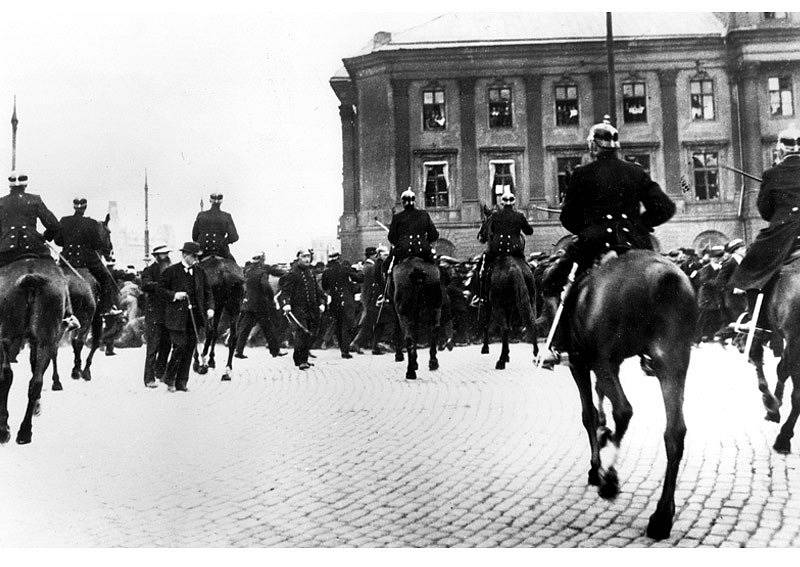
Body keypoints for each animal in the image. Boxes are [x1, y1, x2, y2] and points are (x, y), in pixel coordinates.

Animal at [0, 258, 69, 448]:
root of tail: (31, 278)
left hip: (8, 334)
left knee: (6, 375)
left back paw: (4, 429)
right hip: (44, 338)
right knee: (35, 380)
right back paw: (25, 432)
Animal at [552, 251, 696, 540]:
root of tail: (664, 277)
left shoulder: (580, 363)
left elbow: (589, 414)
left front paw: (596, 465)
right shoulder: (611, 364)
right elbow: (599, 400)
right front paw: (604, 434)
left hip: (602, 360)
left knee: (624, 410)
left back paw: (609, 479)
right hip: (672, 362)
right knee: (674, 432)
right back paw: (662, 516)